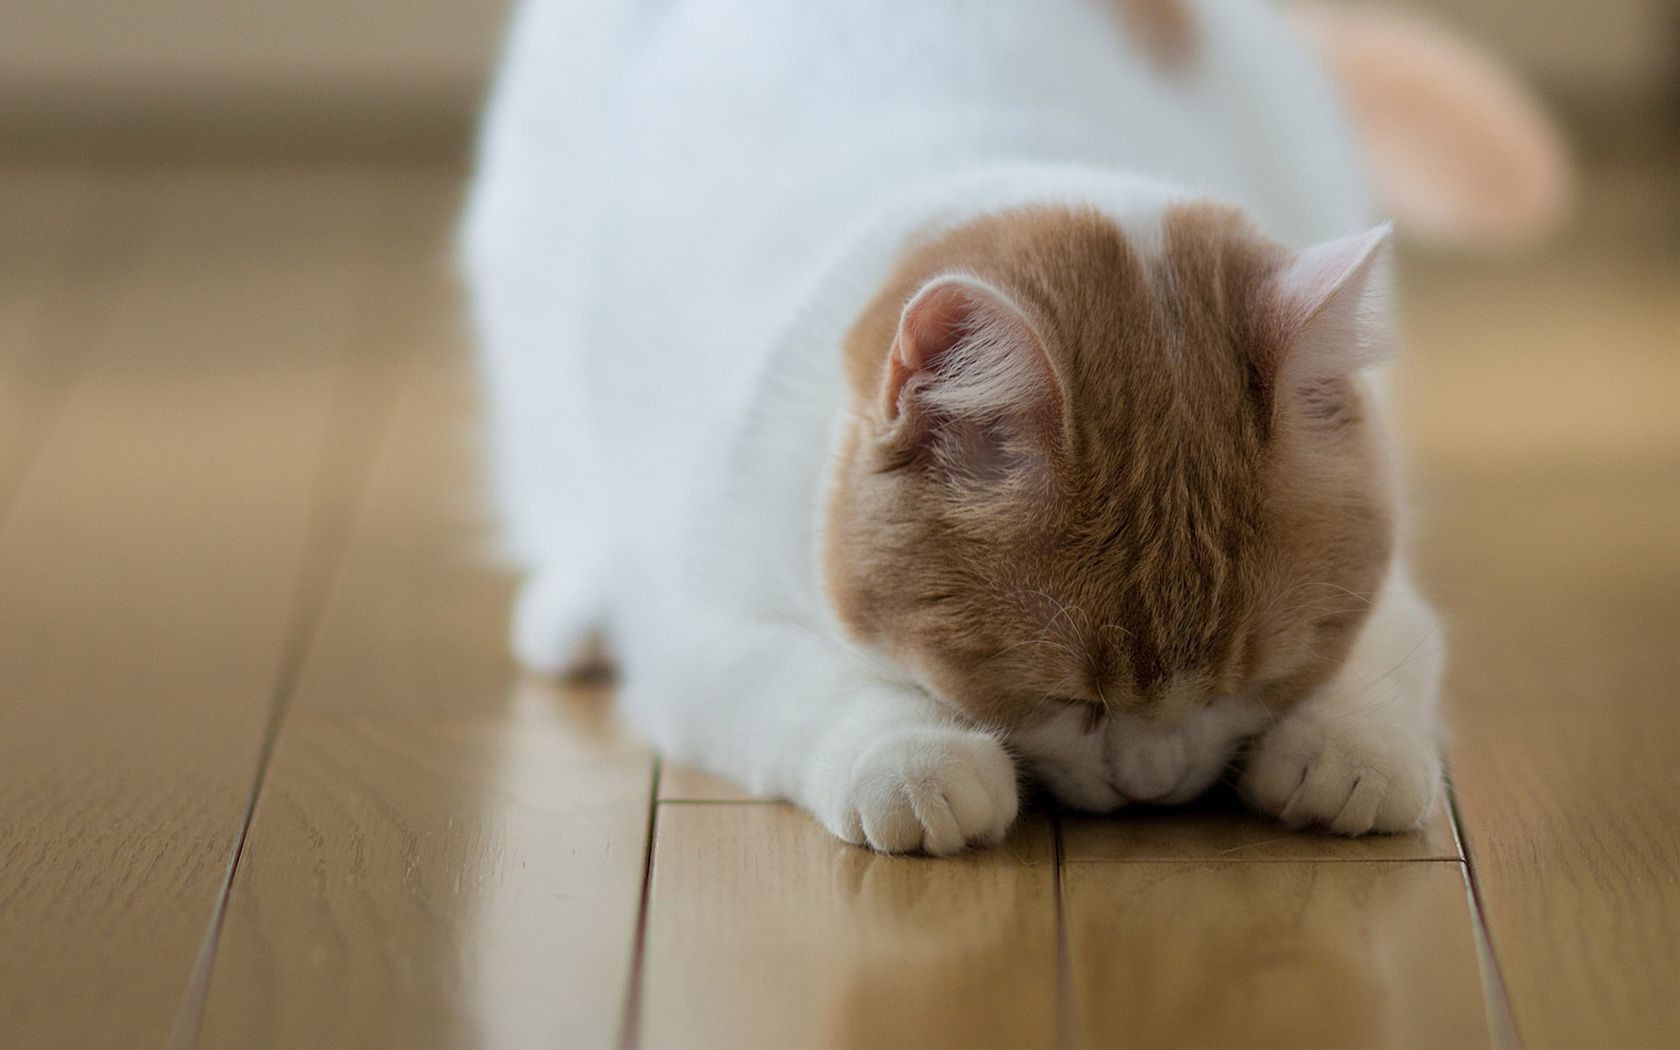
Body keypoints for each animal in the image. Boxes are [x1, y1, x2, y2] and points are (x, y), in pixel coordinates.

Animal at [460, 0, 1559, 853]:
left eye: (1252, 677)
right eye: (1066, 696)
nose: (1157, 784)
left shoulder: (1391, 578)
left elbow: (1395, 647)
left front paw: (1347, 749)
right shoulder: (693, 633)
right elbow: (801, 686)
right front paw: (915, 759)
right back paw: (577, 606)